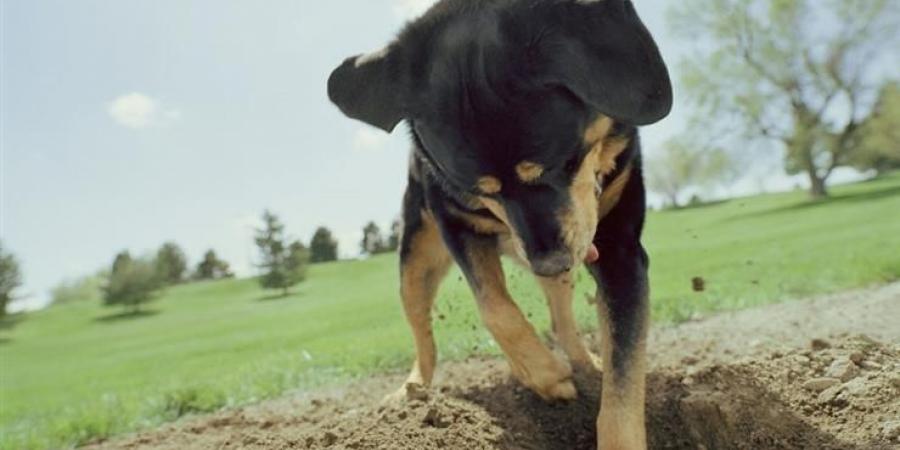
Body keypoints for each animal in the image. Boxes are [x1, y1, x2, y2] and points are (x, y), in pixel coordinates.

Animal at [326, 1, 672, 448]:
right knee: (423, 337)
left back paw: (586, 362)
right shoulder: (455, 222)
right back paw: (412, 393)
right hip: (415, 260)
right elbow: (494, 306)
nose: (548, 262)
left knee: (562, 321)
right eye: (477, 188)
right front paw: (544, 374)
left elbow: (624, 373)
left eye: (564, 162)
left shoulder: (619, 248)